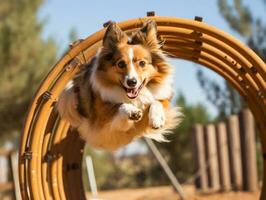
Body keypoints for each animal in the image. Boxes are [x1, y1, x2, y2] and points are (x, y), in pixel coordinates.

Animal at [57, 20, 183, 150]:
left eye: (142, 63)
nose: (132, 82)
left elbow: (157, 102)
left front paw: (156, 119)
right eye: (121, 64)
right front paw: (133, 111)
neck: (135, 97)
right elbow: (118, 106)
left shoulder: (162, 99)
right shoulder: (101, 119)